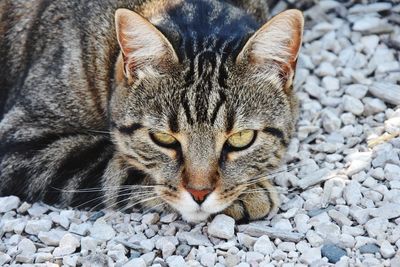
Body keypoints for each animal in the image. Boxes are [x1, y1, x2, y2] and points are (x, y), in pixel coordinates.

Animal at [0, 0, 304, 222]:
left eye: (241, 139)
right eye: (163, 138)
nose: (199, 193)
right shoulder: (22, 143)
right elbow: (117, 165)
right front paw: (251, 195)